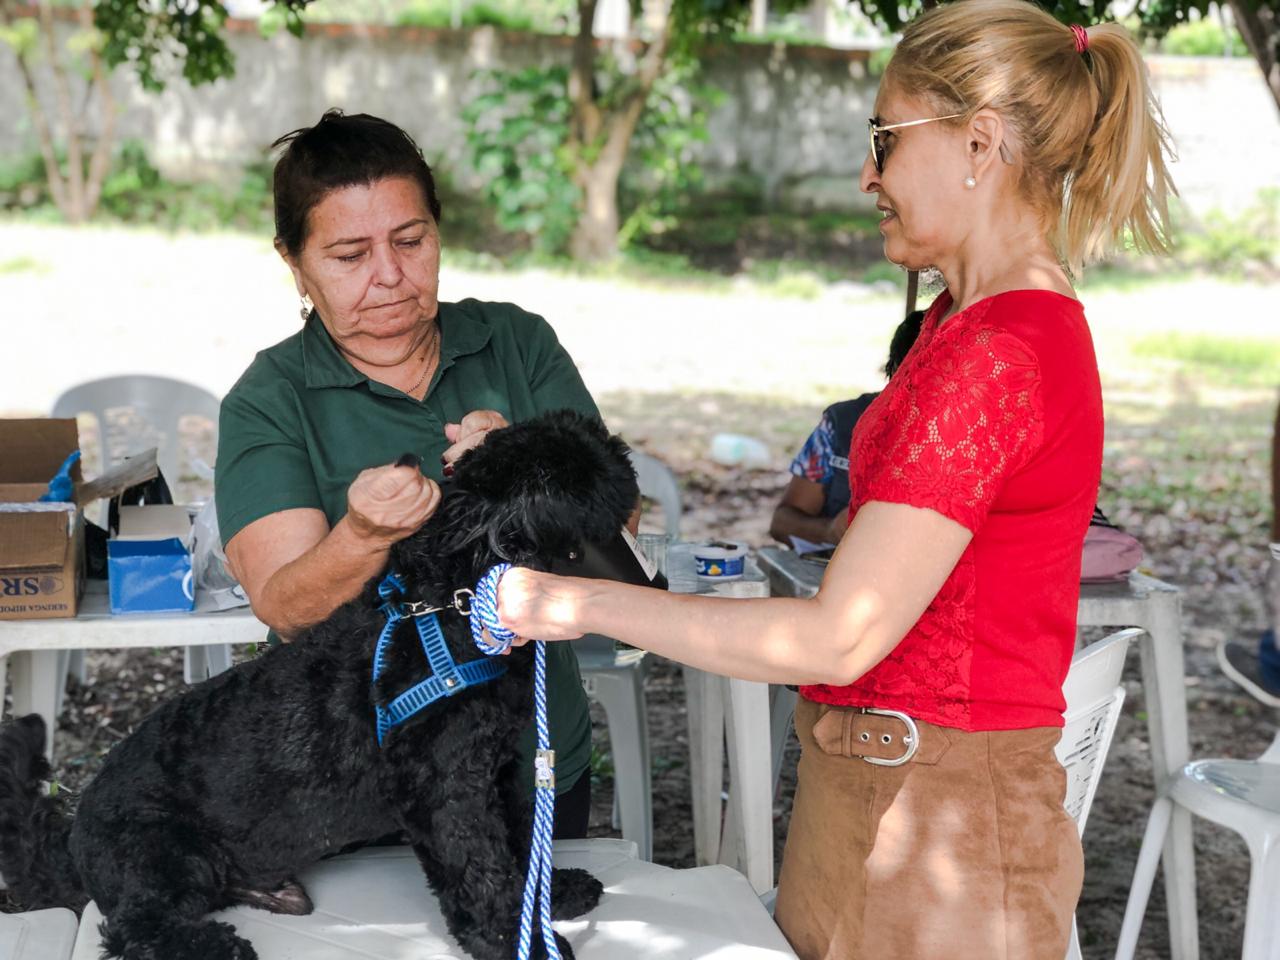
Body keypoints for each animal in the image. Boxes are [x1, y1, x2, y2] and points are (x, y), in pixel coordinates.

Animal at [0, 412, 645, 960]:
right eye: (560, 479)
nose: (613, 448)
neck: (446, 608)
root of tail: (73, 838)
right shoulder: (446, 789)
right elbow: (481, 869)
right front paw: (515, 940)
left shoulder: (500, 767)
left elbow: (520, 841)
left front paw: (553, 890)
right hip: (163, 853)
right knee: (134, 927)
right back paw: (216, 947)